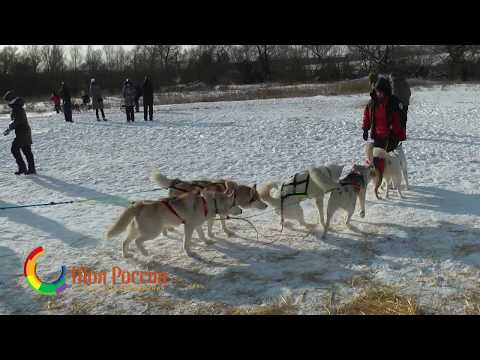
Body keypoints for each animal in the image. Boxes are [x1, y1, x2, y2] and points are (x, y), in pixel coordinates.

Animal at [108, 190, 244, 258]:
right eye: (234, 204)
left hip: (138, 230)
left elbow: (202, 235)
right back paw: (144, 252)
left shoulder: (197, 225)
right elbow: (186, 242)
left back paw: (126, 254)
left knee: (125, 241)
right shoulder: (189, 227)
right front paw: (189, 253)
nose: (242, 210)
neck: (207, 202)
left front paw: (206, 241)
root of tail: (139, 204)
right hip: (153, 232)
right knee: (137, 241)